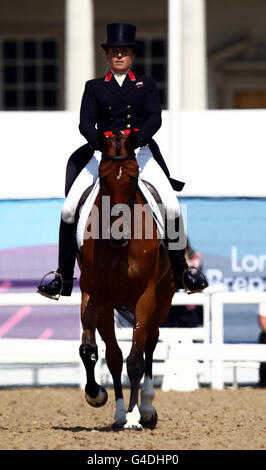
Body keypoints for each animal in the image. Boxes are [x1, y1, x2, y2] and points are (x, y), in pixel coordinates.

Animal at [78, 129, 176, 430]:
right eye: (103, 177)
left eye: (133, 178)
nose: (117, 235)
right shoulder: (95, 297)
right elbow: (96, 351)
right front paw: (98, 396)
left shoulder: (145, 296)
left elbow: (135, 359)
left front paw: (134, 416)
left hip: (162, 300)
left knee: (150, 345)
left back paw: (146, 408)